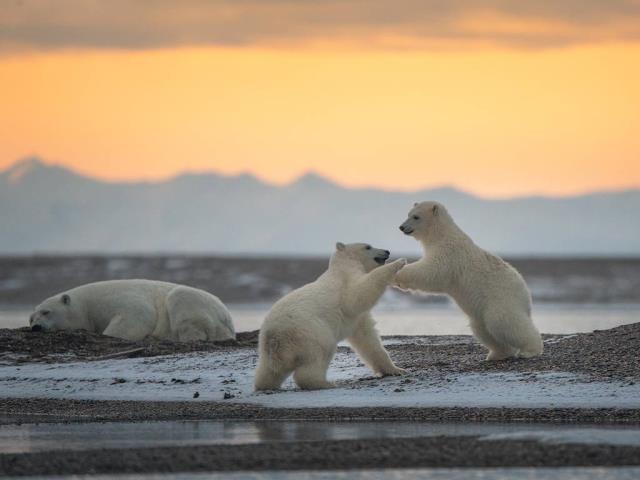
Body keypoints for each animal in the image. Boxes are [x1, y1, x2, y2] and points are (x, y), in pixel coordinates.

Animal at [29, 279, 235, 342]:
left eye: (46, 312)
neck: (87, 305)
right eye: (31, 318)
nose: (35, 327)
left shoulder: (121, 300)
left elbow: (137, 317)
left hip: (197, 304)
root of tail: (227, 317)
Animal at [254, 242, 407, 391]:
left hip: (267, 348)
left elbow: (367, 337)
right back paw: (323, 383)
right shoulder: (346, 281)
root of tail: (274, 336)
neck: (342, 265)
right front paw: (399, 262)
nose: (387, 251)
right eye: (368, 246)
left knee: (268, 371)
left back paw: (265, 385)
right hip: (309, 332)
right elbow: (358, 293)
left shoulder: (357, 319)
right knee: (319, 355)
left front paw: (396, 370)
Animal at [396, 201, 543, 361]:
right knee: (482, 328)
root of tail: (526, 294)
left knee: (502, 321)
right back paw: (497, 354)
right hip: (483, 310)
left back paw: (530, 350)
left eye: (416, 217)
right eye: (408, 214)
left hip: (502, 298)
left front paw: (397, 273)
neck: (441, 234)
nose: (402, 227)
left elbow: (431, 271)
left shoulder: (449, 253)